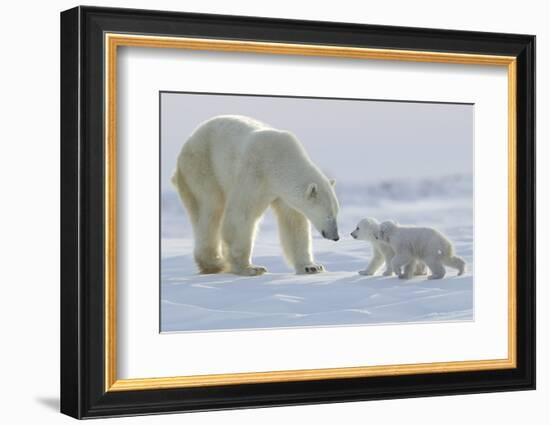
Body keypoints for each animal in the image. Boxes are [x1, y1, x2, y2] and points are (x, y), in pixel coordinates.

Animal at [172, 114, 340, 276]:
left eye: (336, 213)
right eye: (328, 215)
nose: (336, 237)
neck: (280, 160)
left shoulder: (282, 192)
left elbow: (293, 222)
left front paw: (311, 267)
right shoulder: (255, 171)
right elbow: (241, 215)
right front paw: (250, 268)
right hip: (202, 166)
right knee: (209, 209)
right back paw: (215, 263)